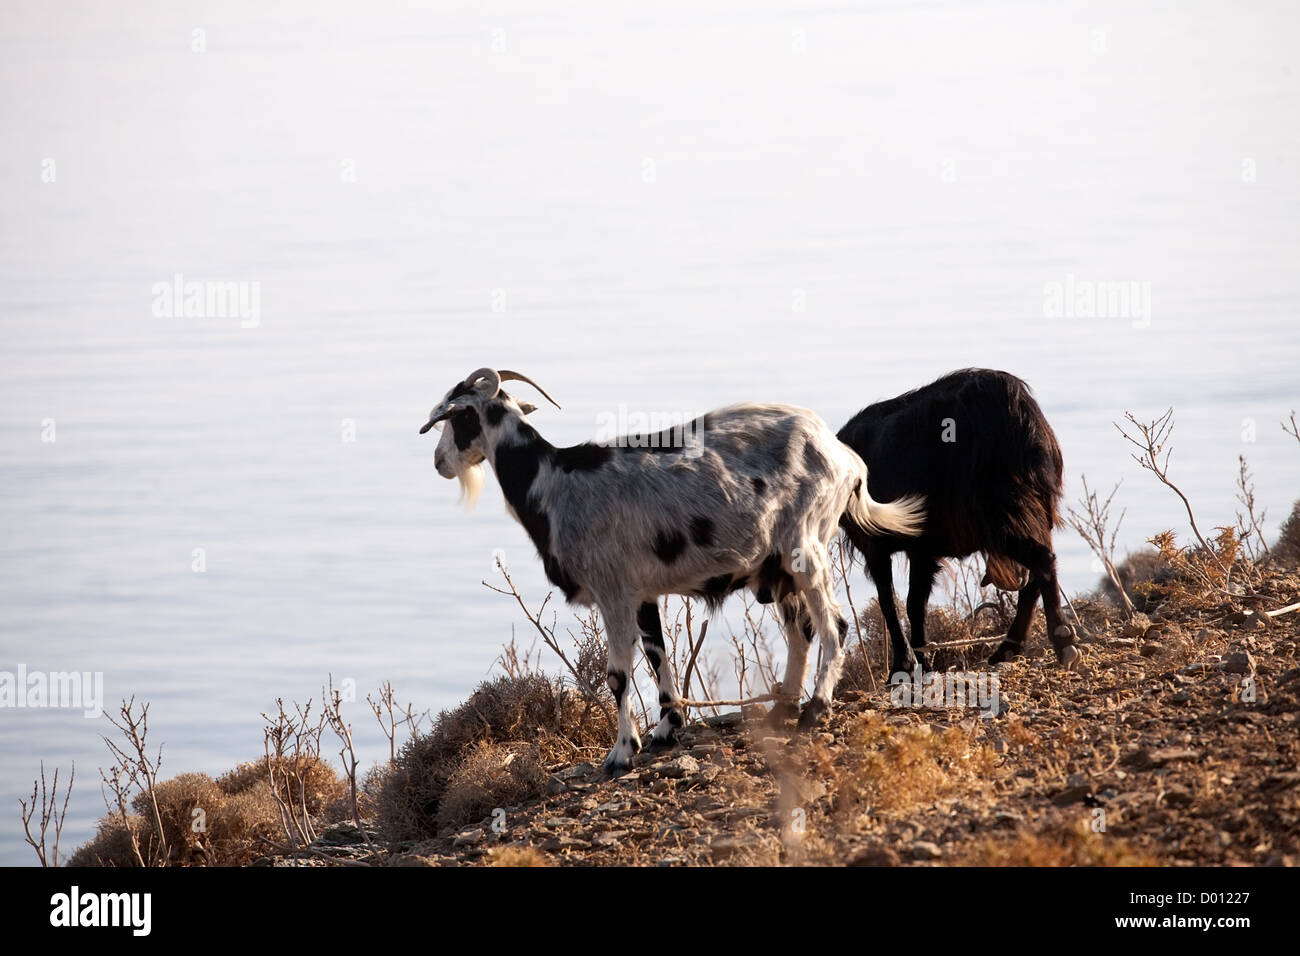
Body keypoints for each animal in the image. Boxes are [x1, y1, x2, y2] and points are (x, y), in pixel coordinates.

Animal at [418, 369, 925, 780]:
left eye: (454, 419)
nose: (439, 464)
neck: (553, 482)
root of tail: (846, 460)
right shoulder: (642, 592)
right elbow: (657, 653)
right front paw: (666, 728)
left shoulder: (613, 590)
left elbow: (617, 675)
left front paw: (621, 752)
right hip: (779, 564)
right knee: (801, 629)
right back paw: (782, 707)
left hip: (807, 547)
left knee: (833, 624)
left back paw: (814, 711)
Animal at [837, 366, 1081, 671]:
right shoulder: (922, 550)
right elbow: (914, 602)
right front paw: (922, 660)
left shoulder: (875, 545)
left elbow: (889, 601)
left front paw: (903, 666)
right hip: (1037, 509)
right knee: (1037, 571)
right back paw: (1007, 649)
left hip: (1000, 513)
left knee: (1042, 560)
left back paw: (1062, 641)